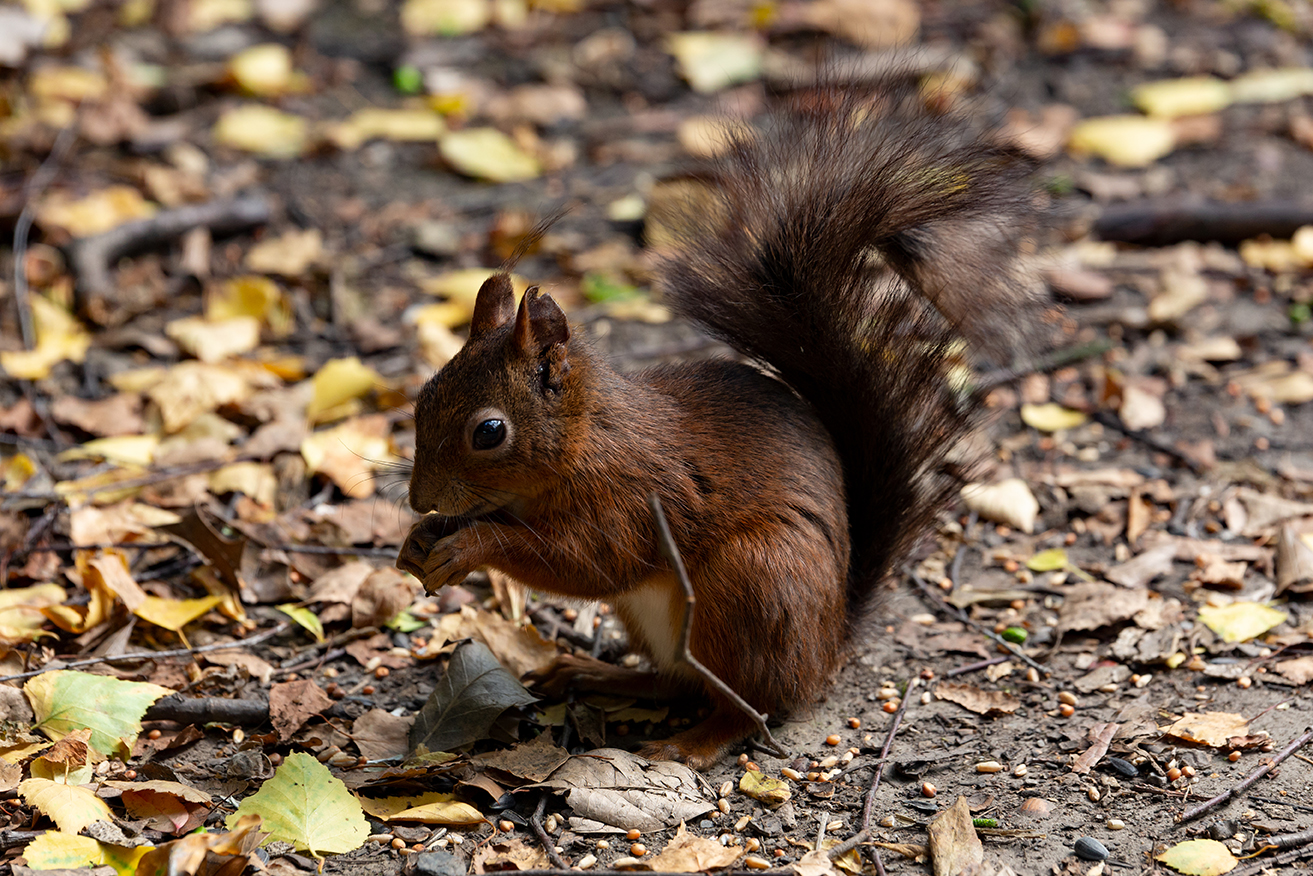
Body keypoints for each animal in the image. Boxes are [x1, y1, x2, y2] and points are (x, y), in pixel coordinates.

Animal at [393, 80, 1039, 766]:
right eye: (423, 397)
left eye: (488, 432)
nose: (418, 498)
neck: (585, 439)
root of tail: (827, 651)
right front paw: (420, 539)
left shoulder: (633, 500)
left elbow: (584, 561)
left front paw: (468, 546)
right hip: (662, 620)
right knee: (674, 681)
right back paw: (592, 673)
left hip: (752, 581)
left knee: (746, 705)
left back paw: (687, 744)